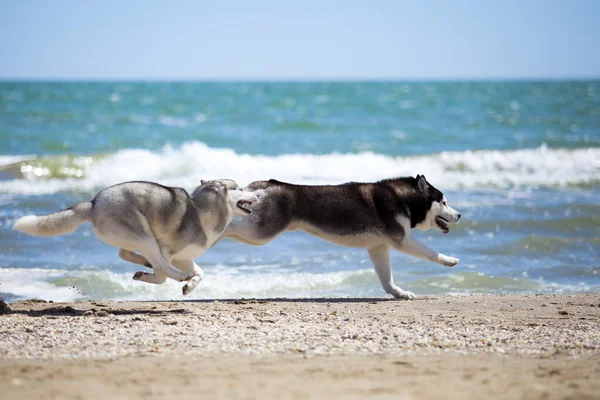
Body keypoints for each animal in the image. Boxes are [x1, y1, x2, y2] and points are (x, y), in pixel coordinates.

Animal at [13, 178, 258, 294]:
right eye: (240, 188)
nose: (257, 193)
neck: (202, 210)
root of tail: (94, 202)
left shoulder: (183, 256)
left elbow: (201, 272)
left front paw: (190, 286)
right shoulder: (168, 251)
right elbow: (162, 274)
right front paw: (181, 280)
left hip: (134, 237)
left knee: (124, 253)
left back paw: (145, 263)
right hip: (144, 235)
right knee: (157, 263)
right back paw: (173, 274)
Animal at [223, 175, 462, 300]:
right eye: (444, 202)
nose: (459, 215)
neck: (402, 198)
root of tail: (266, 183)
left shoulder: (379, 247)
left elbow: (387, 280)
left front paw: (399, 293)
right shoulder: (402, 240)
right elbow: (430, 253)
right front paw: (449, 259)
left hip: (256, 232)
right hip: (261, 232)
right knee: (230, 227)